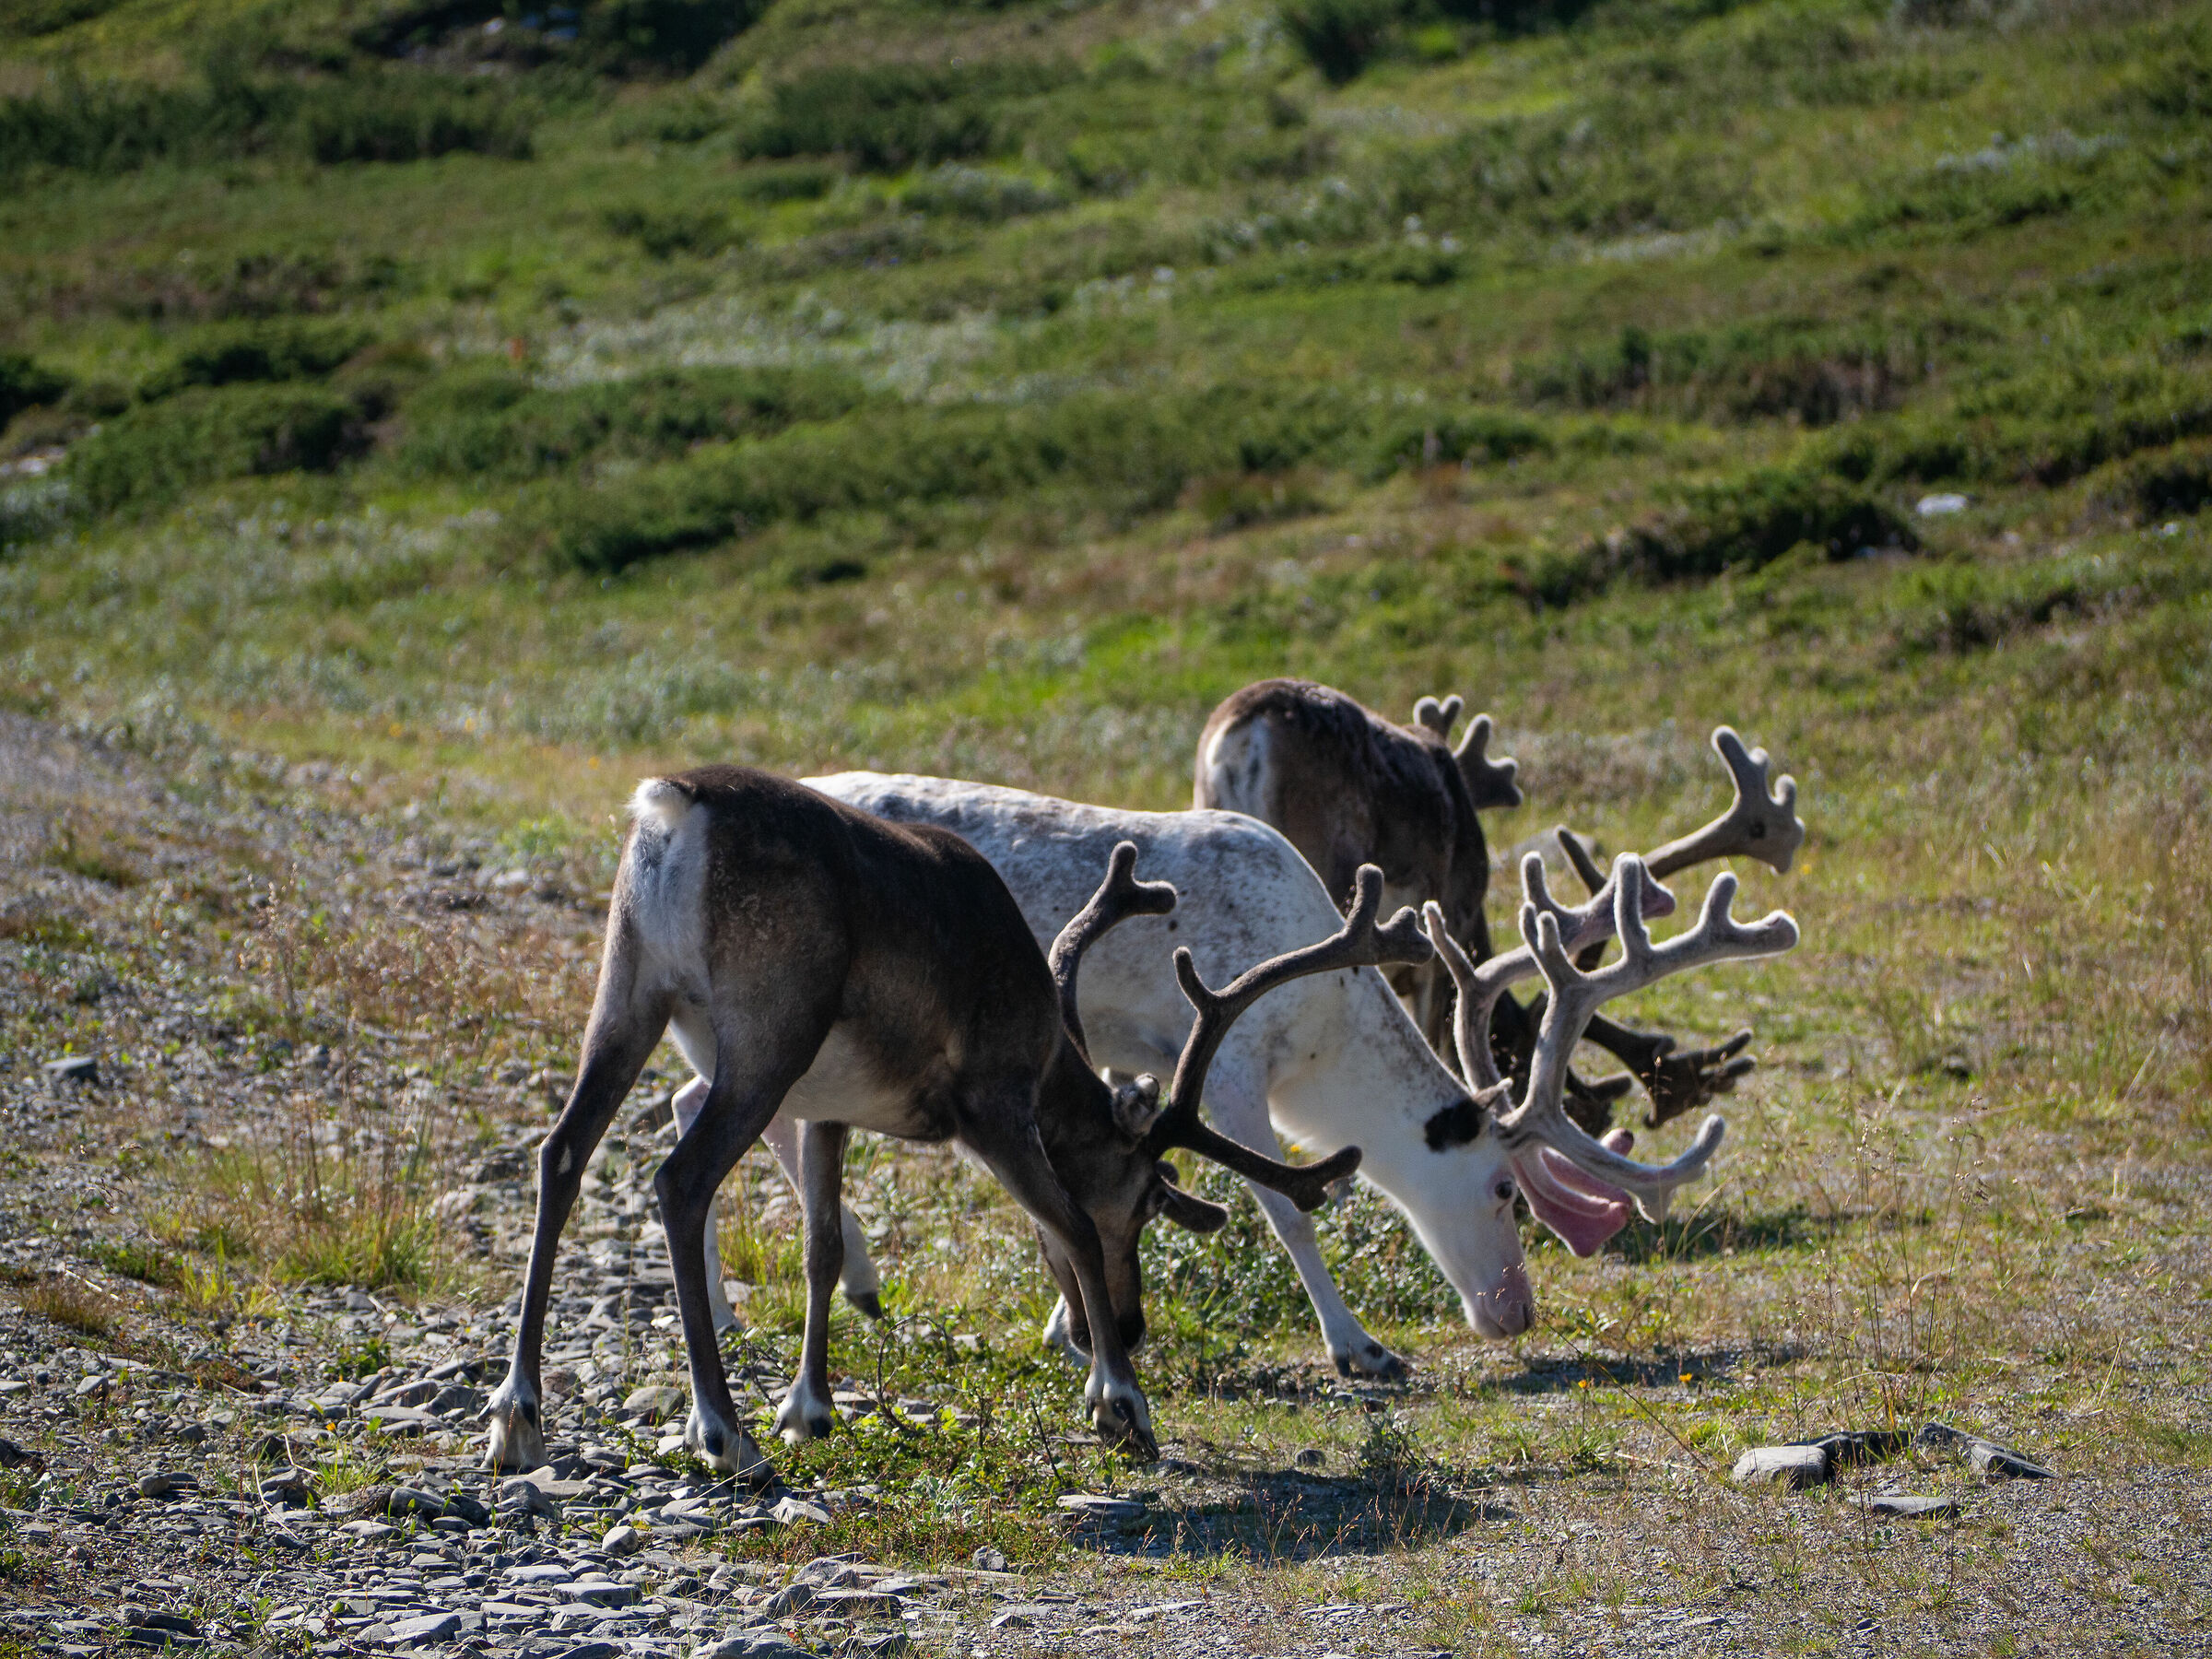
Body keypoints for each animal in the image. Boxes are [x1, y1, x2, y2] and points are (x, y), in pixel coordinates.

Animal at [480, 764, 1424, 1478]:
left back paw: (518, 1413)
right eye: (1146, 1199)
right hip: (768, 1029)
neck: (1048, 1063)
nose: (1127, 1327)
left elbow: (823, 1248)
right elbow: (1070, 1223)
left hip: (626, 988)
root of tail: (672, 809)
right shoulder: (991, 1098)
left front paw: (809, 1405)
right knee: (678, 1180)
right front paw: (1121, 1405)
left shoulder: (829, 1108)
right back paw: (720, 1428)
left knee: (561, 1152)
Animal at [783, 751, 1796, 1377]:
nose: (1516, 1312)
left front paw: (1070, 1325)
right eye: (1505, 1189)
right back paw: (857, 1278)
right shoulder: (1228, 1069)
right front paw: (1360, 1347)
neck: (1324, 1037)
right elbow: (1289, 1211)